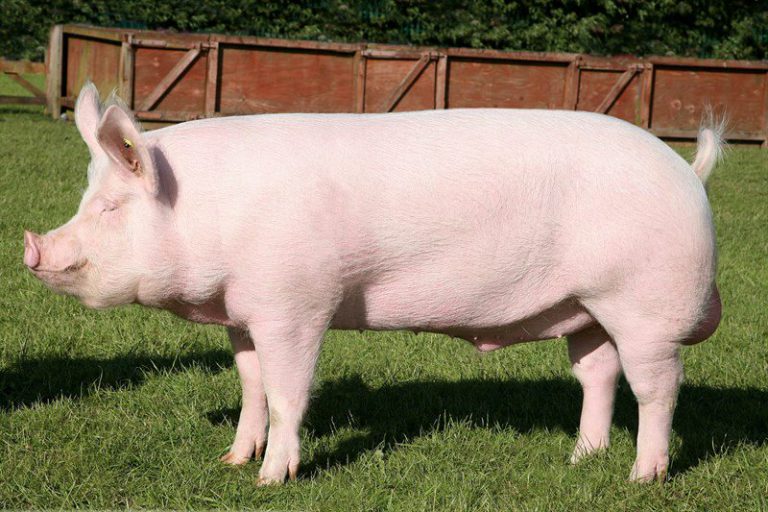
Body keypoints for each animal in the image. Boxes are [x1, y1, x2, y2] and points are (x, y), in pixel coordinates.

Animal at [24, 83, 722, 485]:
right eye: (87, 200)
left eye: (111, 207)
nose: (32, 248)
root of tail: (689, 172)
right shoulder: (243, 311)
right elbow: (250, 388)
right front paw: (230, 461)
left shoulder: (297, 303)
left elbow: (286, 393)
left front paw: (270, 481)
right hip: (586, 308)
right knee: (598, 375)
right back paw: (580, 459)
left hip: (645, 306)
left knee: (658, 388)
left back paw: (641, 478)